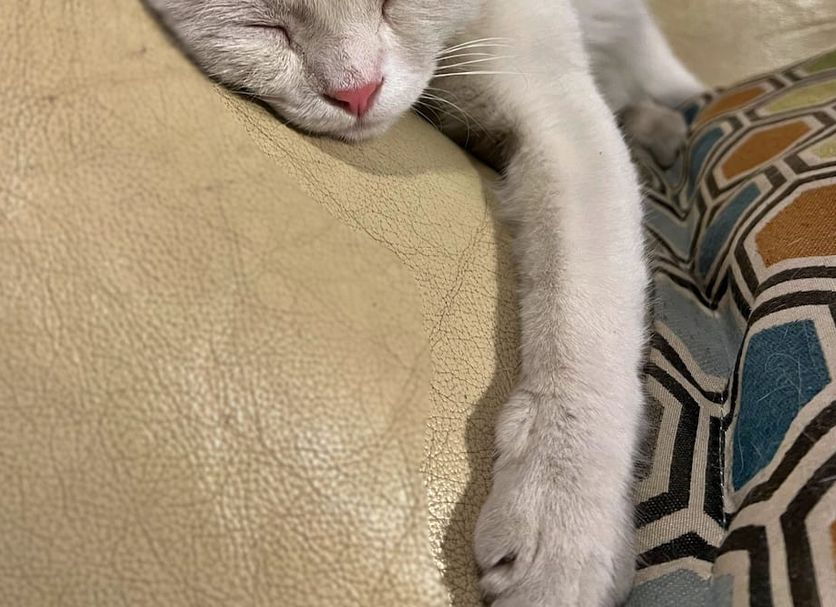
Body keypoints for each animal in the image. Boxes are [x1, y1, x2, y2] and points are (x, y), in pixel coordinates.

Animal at [146, 1, 703, 605]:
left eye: (393, 5)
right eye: (262, 25)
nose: (356, 92)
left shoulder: (565, 120)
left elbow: (586, 316)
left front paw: (563, 528)